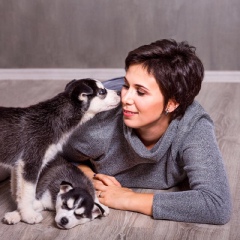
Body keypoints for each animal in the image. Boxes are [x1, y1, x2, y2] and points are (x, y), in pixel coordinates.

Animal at [0, 79, 120, 225]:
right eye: (102, 92)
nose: (119, 92)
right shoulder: (31, 162)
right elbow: (28, 193)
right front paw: (28, 215)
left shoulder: (18, 165)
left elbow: (17, 189)